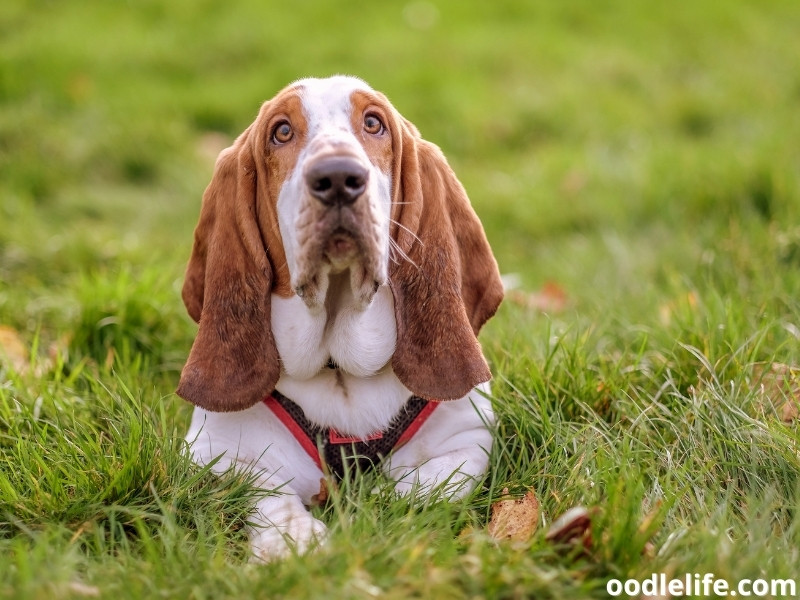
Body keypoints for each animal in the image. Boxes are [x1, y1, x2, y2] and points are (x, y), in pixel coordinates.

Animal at [177, 76, 500, 564]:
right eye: (282, 132)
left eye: (374, 123)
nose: (337, 178)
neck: (339, 369)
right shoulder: (212, 450)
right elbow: (263, 490)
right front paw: (293, 540)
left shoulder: (467, 437)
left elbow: (430, 487)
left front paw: (384, 507)